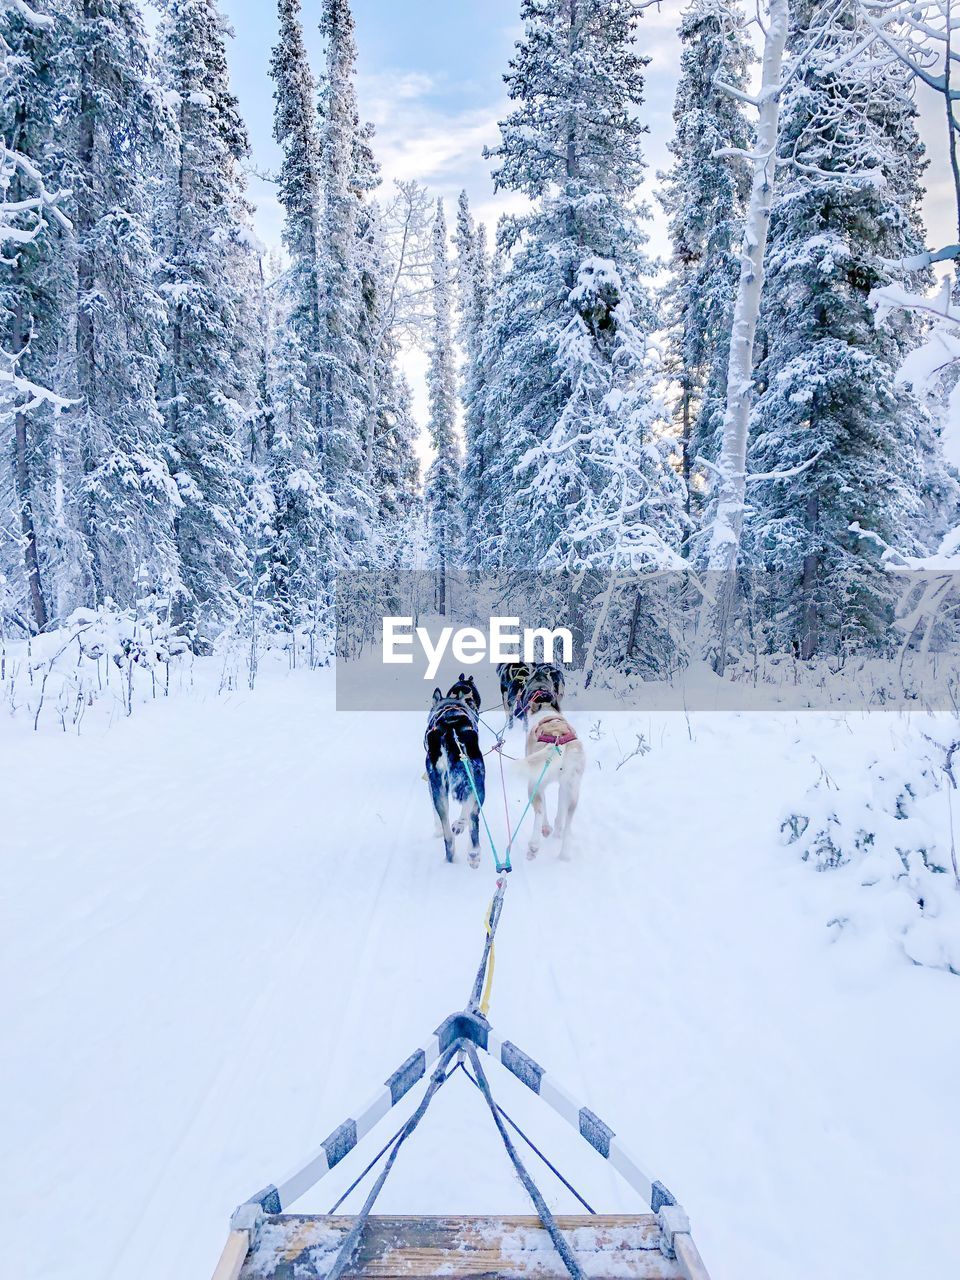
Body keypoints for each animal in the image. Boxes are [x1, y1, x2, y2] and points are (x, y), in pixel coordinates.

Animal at [427, 680, 488, 870]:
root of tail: (450, 729)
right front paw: (459, 824)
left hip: (442, 786)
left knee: (457, 829)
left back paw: (460, 856)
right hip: (477, 780)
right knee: (469, 821)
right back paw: (469, 854)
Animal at [522, 680, 583, 860]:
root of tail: (557, 736)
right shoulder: (563, 787)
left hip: (534, 784)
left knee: (539, 811)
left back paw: (534, 845)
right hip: (572, 790)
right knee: (567, 821)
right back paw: (564, 853)